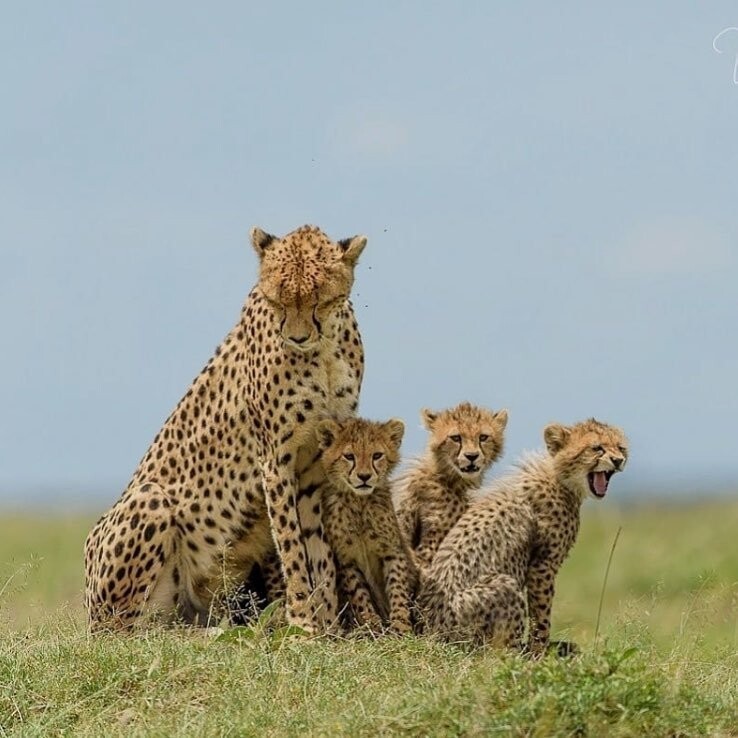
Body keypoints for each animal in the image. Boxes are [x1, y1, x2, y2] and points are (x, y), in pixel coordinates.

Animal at [85, 224, 366, 632]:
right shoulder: (275, 459)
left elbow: (318, 549)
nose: (297, 338)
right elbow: (291, 545)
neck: (324, 349)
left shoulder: (314, 463)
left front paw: (328, 624)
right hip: (150, 502)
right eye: (277, 302)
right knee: (126, 632)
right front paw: (302, 621)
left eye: (320, 301)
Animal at [416, 416, 624, 652]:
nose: (618, 460)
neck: (560, 478)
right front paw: (539, 651)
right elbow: (541, 614)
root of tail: (431, 633)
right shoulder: (543, 566)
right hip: (499, 590)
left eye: (620, 447)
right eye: (597, 448)